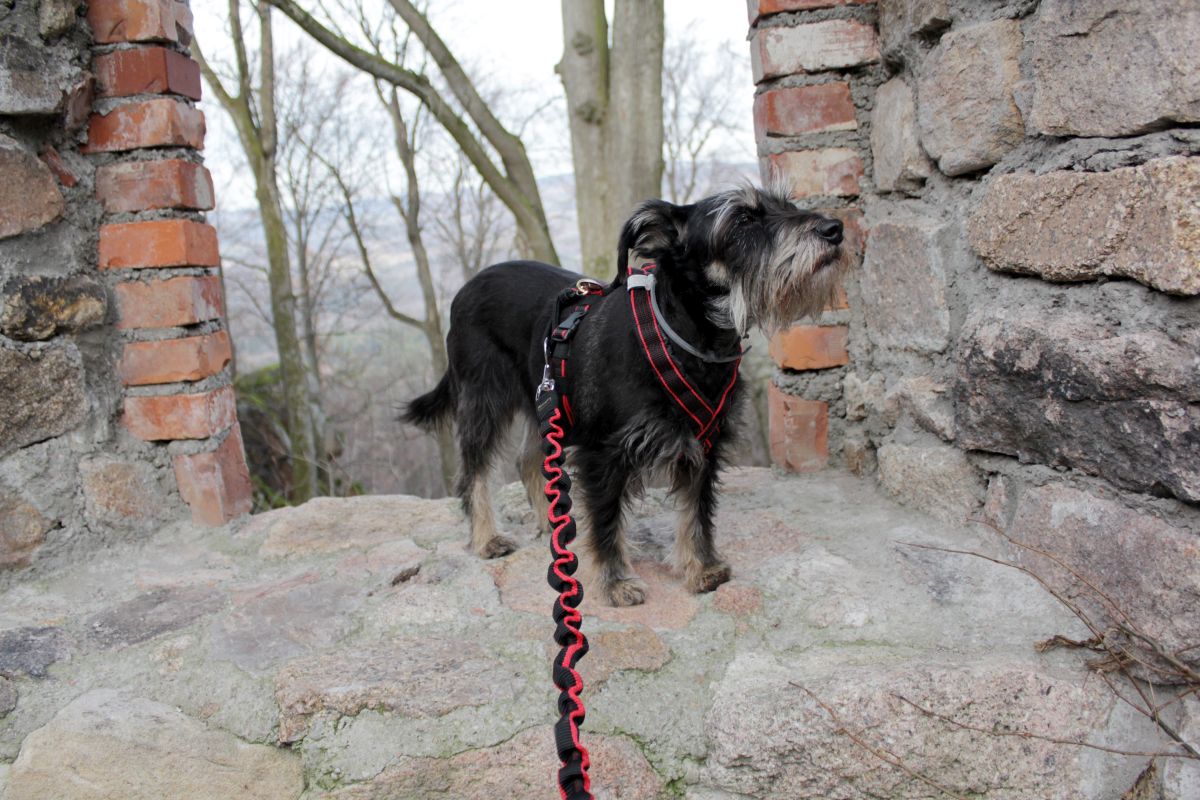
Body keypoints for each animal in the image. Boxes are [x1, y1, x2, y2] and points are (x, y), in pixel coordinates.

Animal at [405, 185, 847, 606]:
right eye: (742, 219)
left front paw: (701, 567)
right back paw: (487, 538)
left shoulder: (704, 446)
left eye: (785, 204)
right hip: (485, 397)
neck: (686, 335)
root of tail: (463, 290)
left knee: (529, 459)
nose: (834, 229)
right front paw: (615, 582)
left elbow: (697, 511)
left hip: (543, 398)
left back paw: (554, 525)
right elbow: (606, 521)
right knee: (475, 470)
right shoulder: (603, 453)